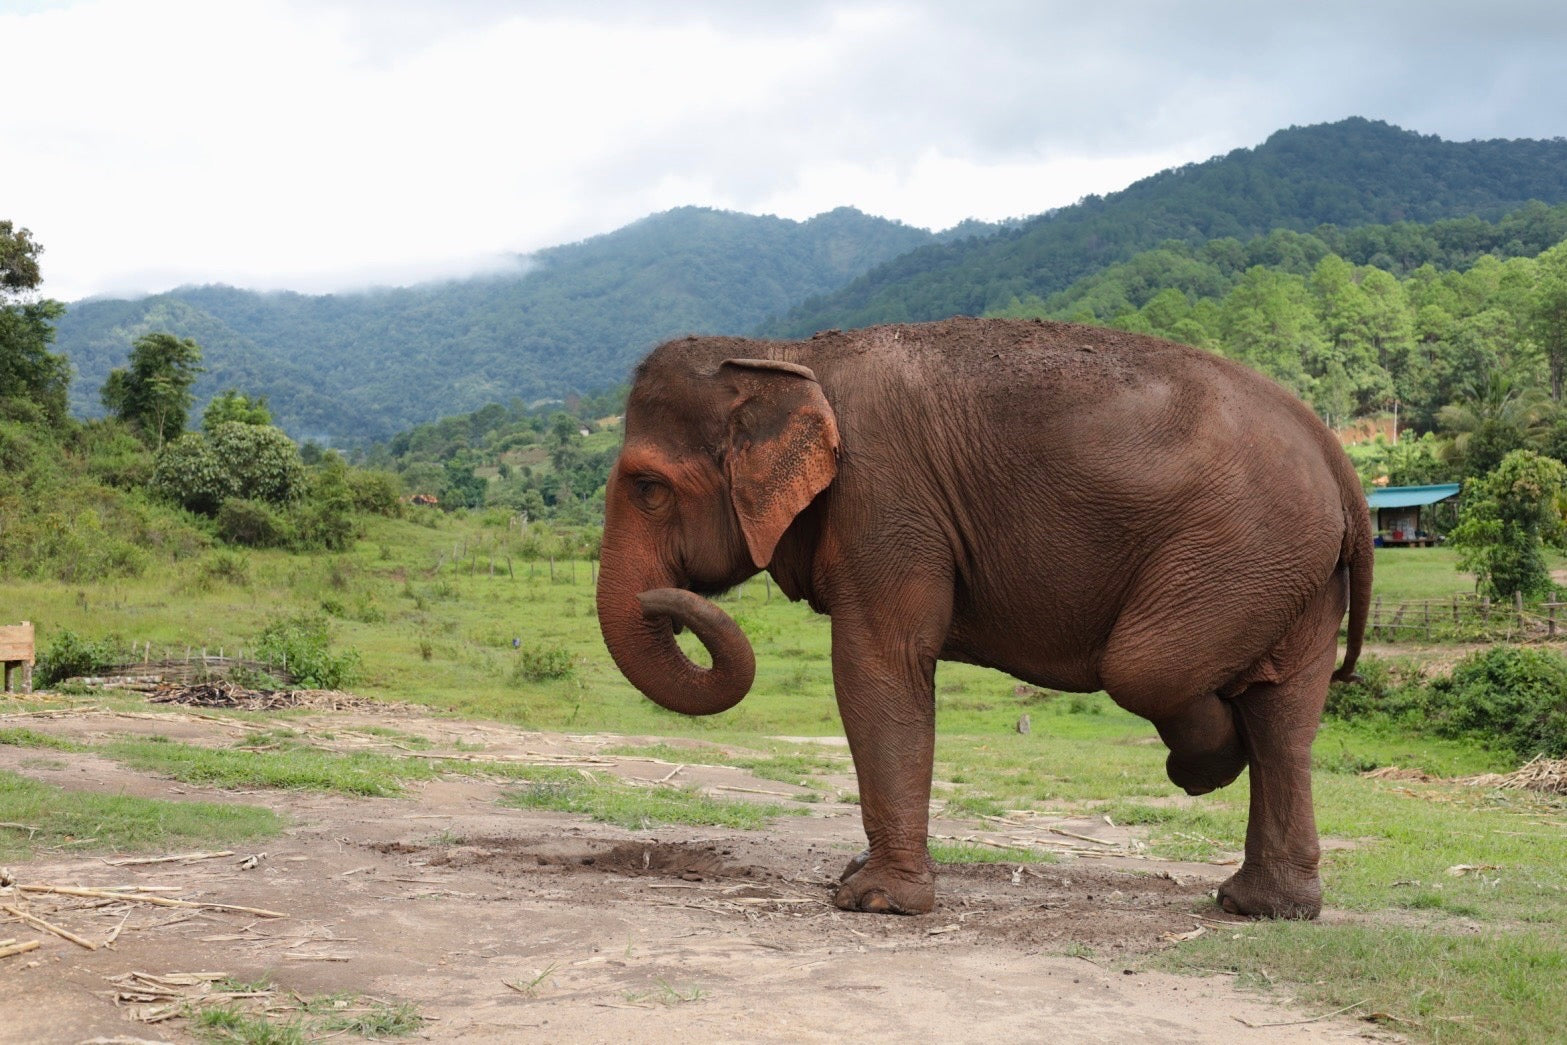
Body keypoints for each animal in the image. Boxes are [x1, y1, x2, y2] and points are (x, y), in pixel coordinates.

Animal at [596, 316, 1371, 920]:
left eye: (648, 488)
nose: (660, 599)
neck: (784, 351)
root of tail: (1334, 454)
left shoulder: (885, 499)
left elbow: (878, 661)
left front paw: (875, 902)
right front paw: (860, 880)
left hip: (1244, 548)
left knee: (1148, 668)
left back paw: (1206, 772)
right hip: (1295, 569)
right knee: (1282, 719)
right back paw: (1261, 904)